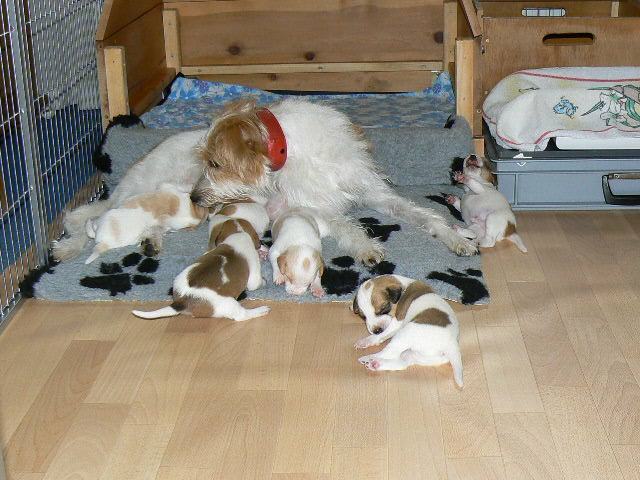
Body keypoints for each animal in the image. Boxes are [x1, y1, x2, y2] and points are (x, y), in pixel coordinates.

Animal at [131, 206, 269, 321]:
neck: (238, 233)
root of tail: (182, 301)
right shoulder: (253, 273)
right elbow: (256, 283)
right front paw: (264, 281)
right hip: (229, 303)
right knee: (241, 316)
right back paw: (261, 310)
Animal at [189, 98, 477, 266]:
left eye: (215, 164)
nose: (194, 198)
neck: (292, 148)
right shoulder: (318, 206)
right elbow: (345, 225)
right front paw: (365, 247)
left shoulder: (374, 192)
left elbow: (425, 215)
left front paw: (456, 239)